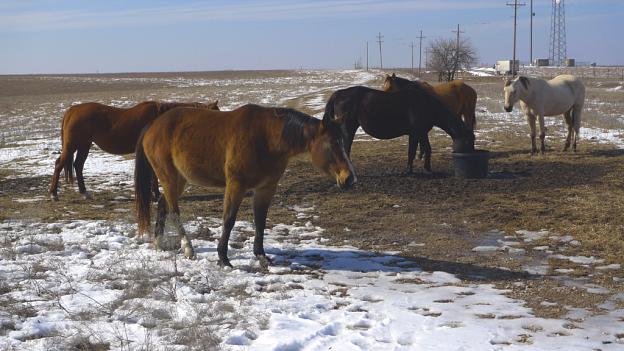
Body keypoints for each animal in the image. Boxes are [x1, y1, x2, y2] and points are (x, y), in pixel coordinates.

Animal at [48, 102, 219, 201]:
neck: (159, 116)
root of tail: (72, 110)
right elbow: (153, 175)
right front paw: (156, 194)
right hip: (73, 145)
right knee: (60, 164)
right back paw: (54, 194)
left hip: (84, 145)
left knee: (78, 165)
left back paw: (84, 192)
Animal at [135, 103, 356, 268]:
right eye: (332, 143)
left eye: (343, 141)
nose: (350, 178)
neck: (267, 138)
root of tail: (152, 125)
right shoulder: (236, 185)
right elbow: (229, 220)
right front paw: (223, 259)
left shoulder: (266, 188)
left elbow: (260, 221)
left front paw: (261, 256)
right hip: (169, 178)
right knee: (174, 211)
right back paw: (188, 248)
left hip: (179, 179)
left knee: (163, 205)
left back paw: (159, 243)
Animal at [324, 84, 476, 175]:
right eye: (469, 141)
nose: (471, 154)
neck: (426, 105)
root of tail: (339, 94)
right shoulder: (415, 133)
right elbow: (412, 151)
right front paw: (409, 170)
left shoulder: (422, 133)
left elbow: (427, 149)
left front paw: (427, 169)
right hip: (348, 129)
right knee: (346, 148)